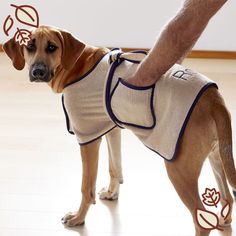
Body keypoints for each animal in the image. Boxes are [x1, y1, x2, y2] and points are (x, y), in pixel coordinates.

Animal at [2, 24, 236, 235]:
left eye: (52, 47)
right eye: (30, 47)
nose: (37, 72)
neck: (77, 65)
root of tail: (214, 99)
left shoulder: (88, 139)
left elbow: (86, 187)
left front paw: (79, 218)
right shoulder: (111, 129)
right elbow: (115, 166)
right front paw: (112, 193)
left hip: (180, 170)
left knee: (201, 222)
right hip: (216, 158)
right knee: (228, 197)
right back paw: (224, 219)